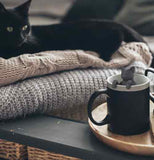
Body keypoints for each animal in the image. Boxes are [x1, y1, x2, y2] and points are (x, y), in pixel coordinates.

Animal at [0, 0, 147, 62]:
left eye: (24, 27)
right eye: (9, 28)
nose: (21, 38)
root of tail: (113, 22)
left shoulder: (34, 47)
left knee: (117, 35)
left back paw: (105, 55)